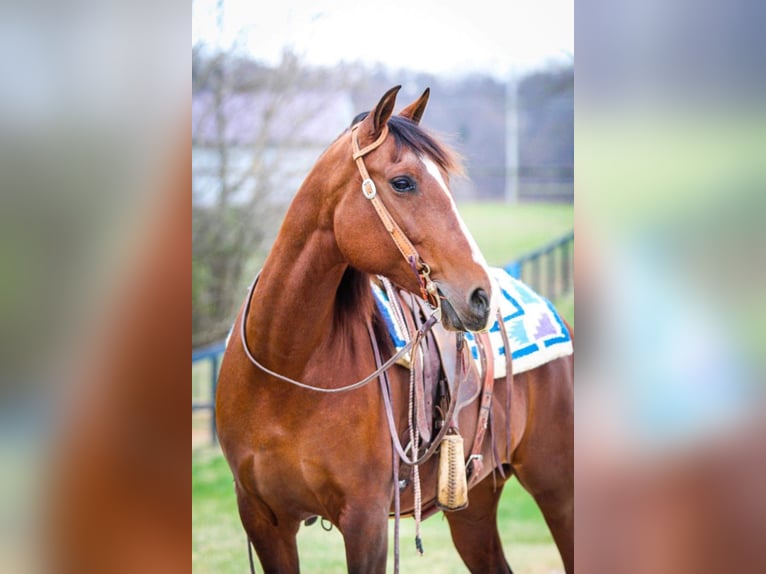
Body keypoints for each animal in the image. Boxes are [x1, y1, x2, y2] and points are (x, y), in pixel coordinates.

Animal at [213, 86, 572, 574]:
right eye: (403, 182)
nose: (481, 294)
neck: (285, 368)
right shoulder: (264, 520)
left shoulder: (364, 522)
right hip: (473, 505)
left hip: (558, 492)